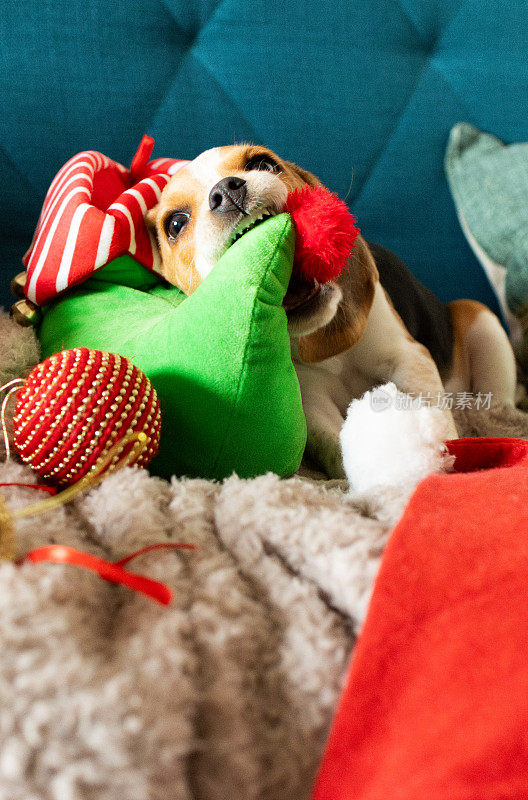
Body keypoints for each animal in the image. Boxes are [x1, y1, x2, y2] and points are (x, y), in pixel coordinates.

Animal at [146, 145, 516, 476]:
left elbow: (429, 405)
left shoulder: (408, 357)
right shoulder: (311, 400)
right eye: (176, 224)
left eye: (263, 163)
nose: (225, 191)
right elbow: (333, 440)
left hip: (481, 319)